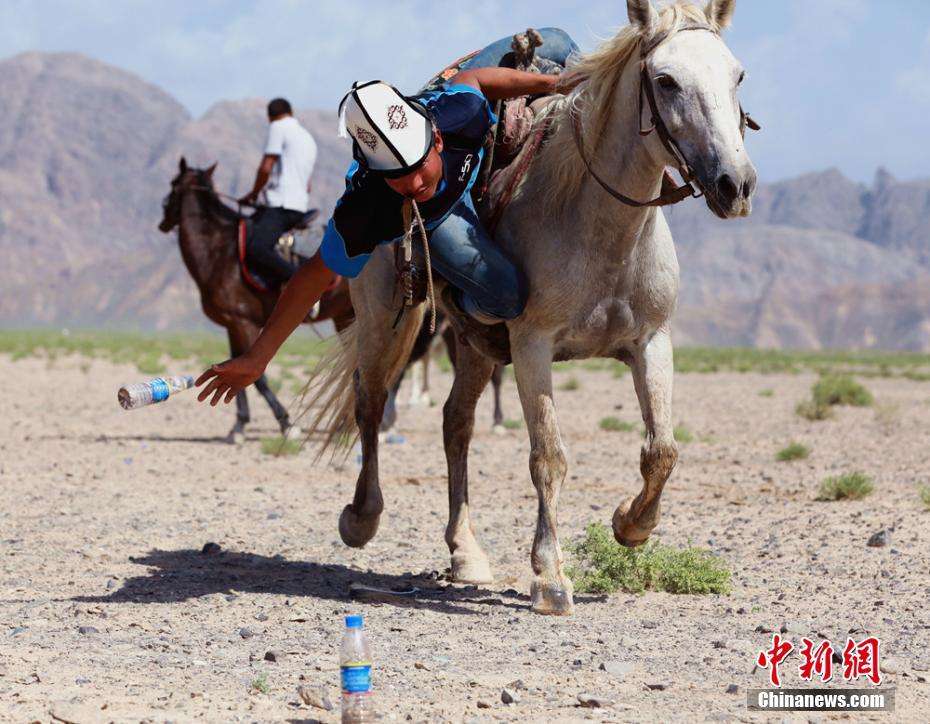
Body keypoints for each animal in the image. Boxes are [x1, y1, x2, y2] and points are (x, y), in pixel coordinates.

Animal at [159, 158, 352, 442]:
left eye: (173, 185)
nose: (163, 221)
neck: (219, 252)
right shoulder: (232, 324)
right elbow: (230, 366)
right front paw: (239, 426)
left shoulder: (244, 323)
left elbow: (256, 377)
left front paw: (287, 423)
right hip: (345, 315)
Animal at [304, 1, 752, 616]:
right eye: (665, 80)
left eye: (737, 75)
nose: (736, 184)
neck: (598, 223)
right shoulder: (533, 345)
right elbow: (549, 456)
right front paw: (549, 575)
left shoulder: (652, 341)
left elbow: (662, 450)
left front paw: (629, 525)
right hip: (386, 322)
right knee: (369, 402)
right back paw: (361, 518)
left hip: (473, 342)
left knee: (456, 422)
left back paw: (465, 552)